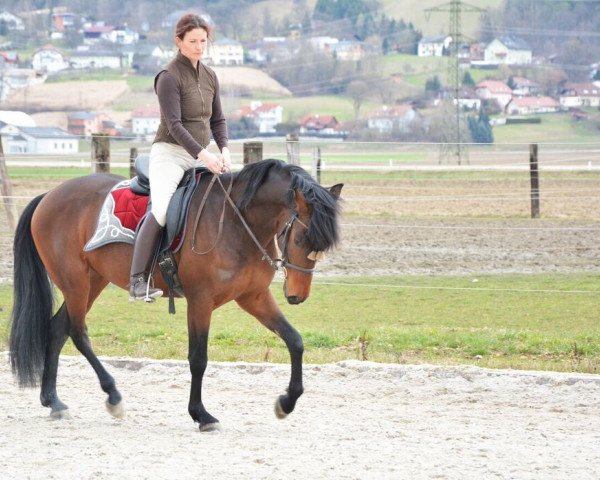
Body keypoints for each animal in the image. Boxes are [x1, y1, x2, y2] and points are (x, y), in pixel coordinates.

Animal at [8, 158, 342, 432]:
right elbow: (198, 358)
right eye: (300, 238)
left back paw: (53, 401)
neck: (237, 221)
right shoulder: (200, 301)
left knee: (57, 329)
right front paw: (201, 415)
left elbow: (295, 341)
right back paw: (113, 396)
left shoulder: (254, 297)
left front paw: (286, 402)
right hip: (75, 282)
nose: (297, 295)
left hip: (93, 281)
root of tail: (49, 195)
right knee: (77, 333)